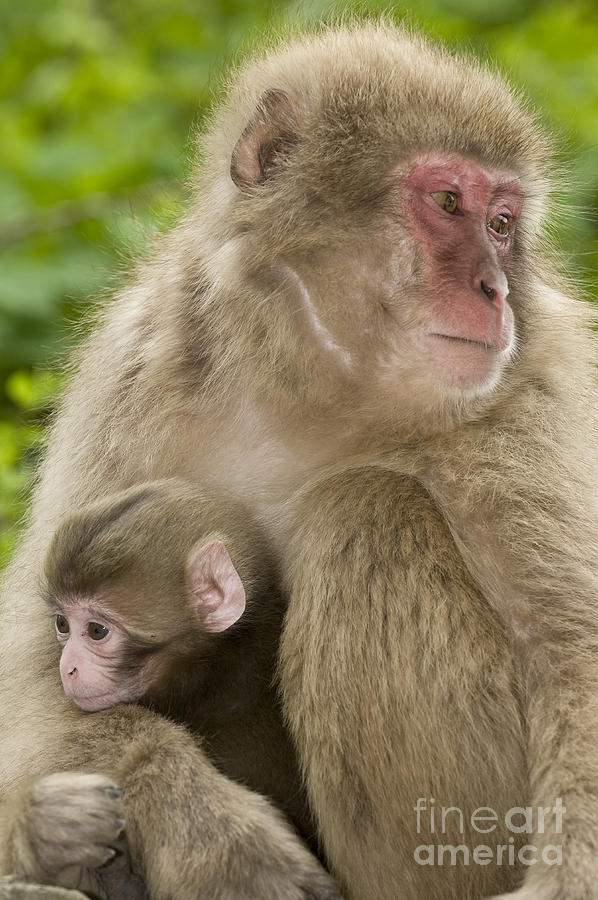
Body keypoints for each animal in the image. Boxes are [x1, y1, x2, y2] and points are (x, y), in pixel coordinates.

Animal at [1, 19, 598, 900]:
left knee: (364, 509)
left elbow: (573, 655)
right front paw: (207, 833)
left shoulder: (534, 389)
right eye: (447, 203)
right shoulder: (139, 358)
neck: (320, 391)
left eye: (499, 224)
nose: (495, 290)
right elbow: (32, 671)